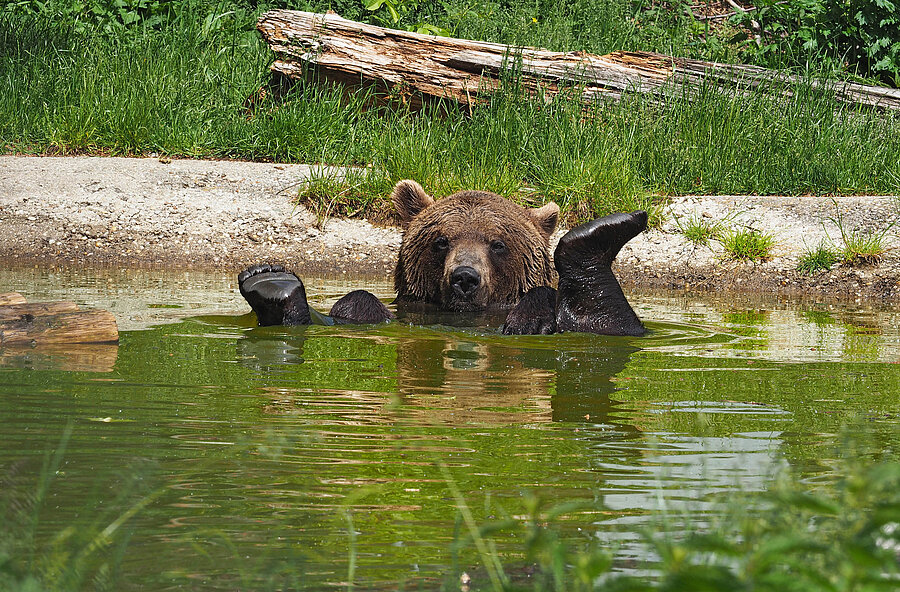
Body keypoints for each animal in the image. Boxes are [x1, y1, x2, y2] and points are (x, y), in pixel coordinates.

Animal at [239, 178, 648, 336]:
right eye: (440, 241)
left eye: (497, 243)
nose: (465, 277)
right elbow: (352, 309)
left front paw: (529, 317)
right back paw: (272, 282)